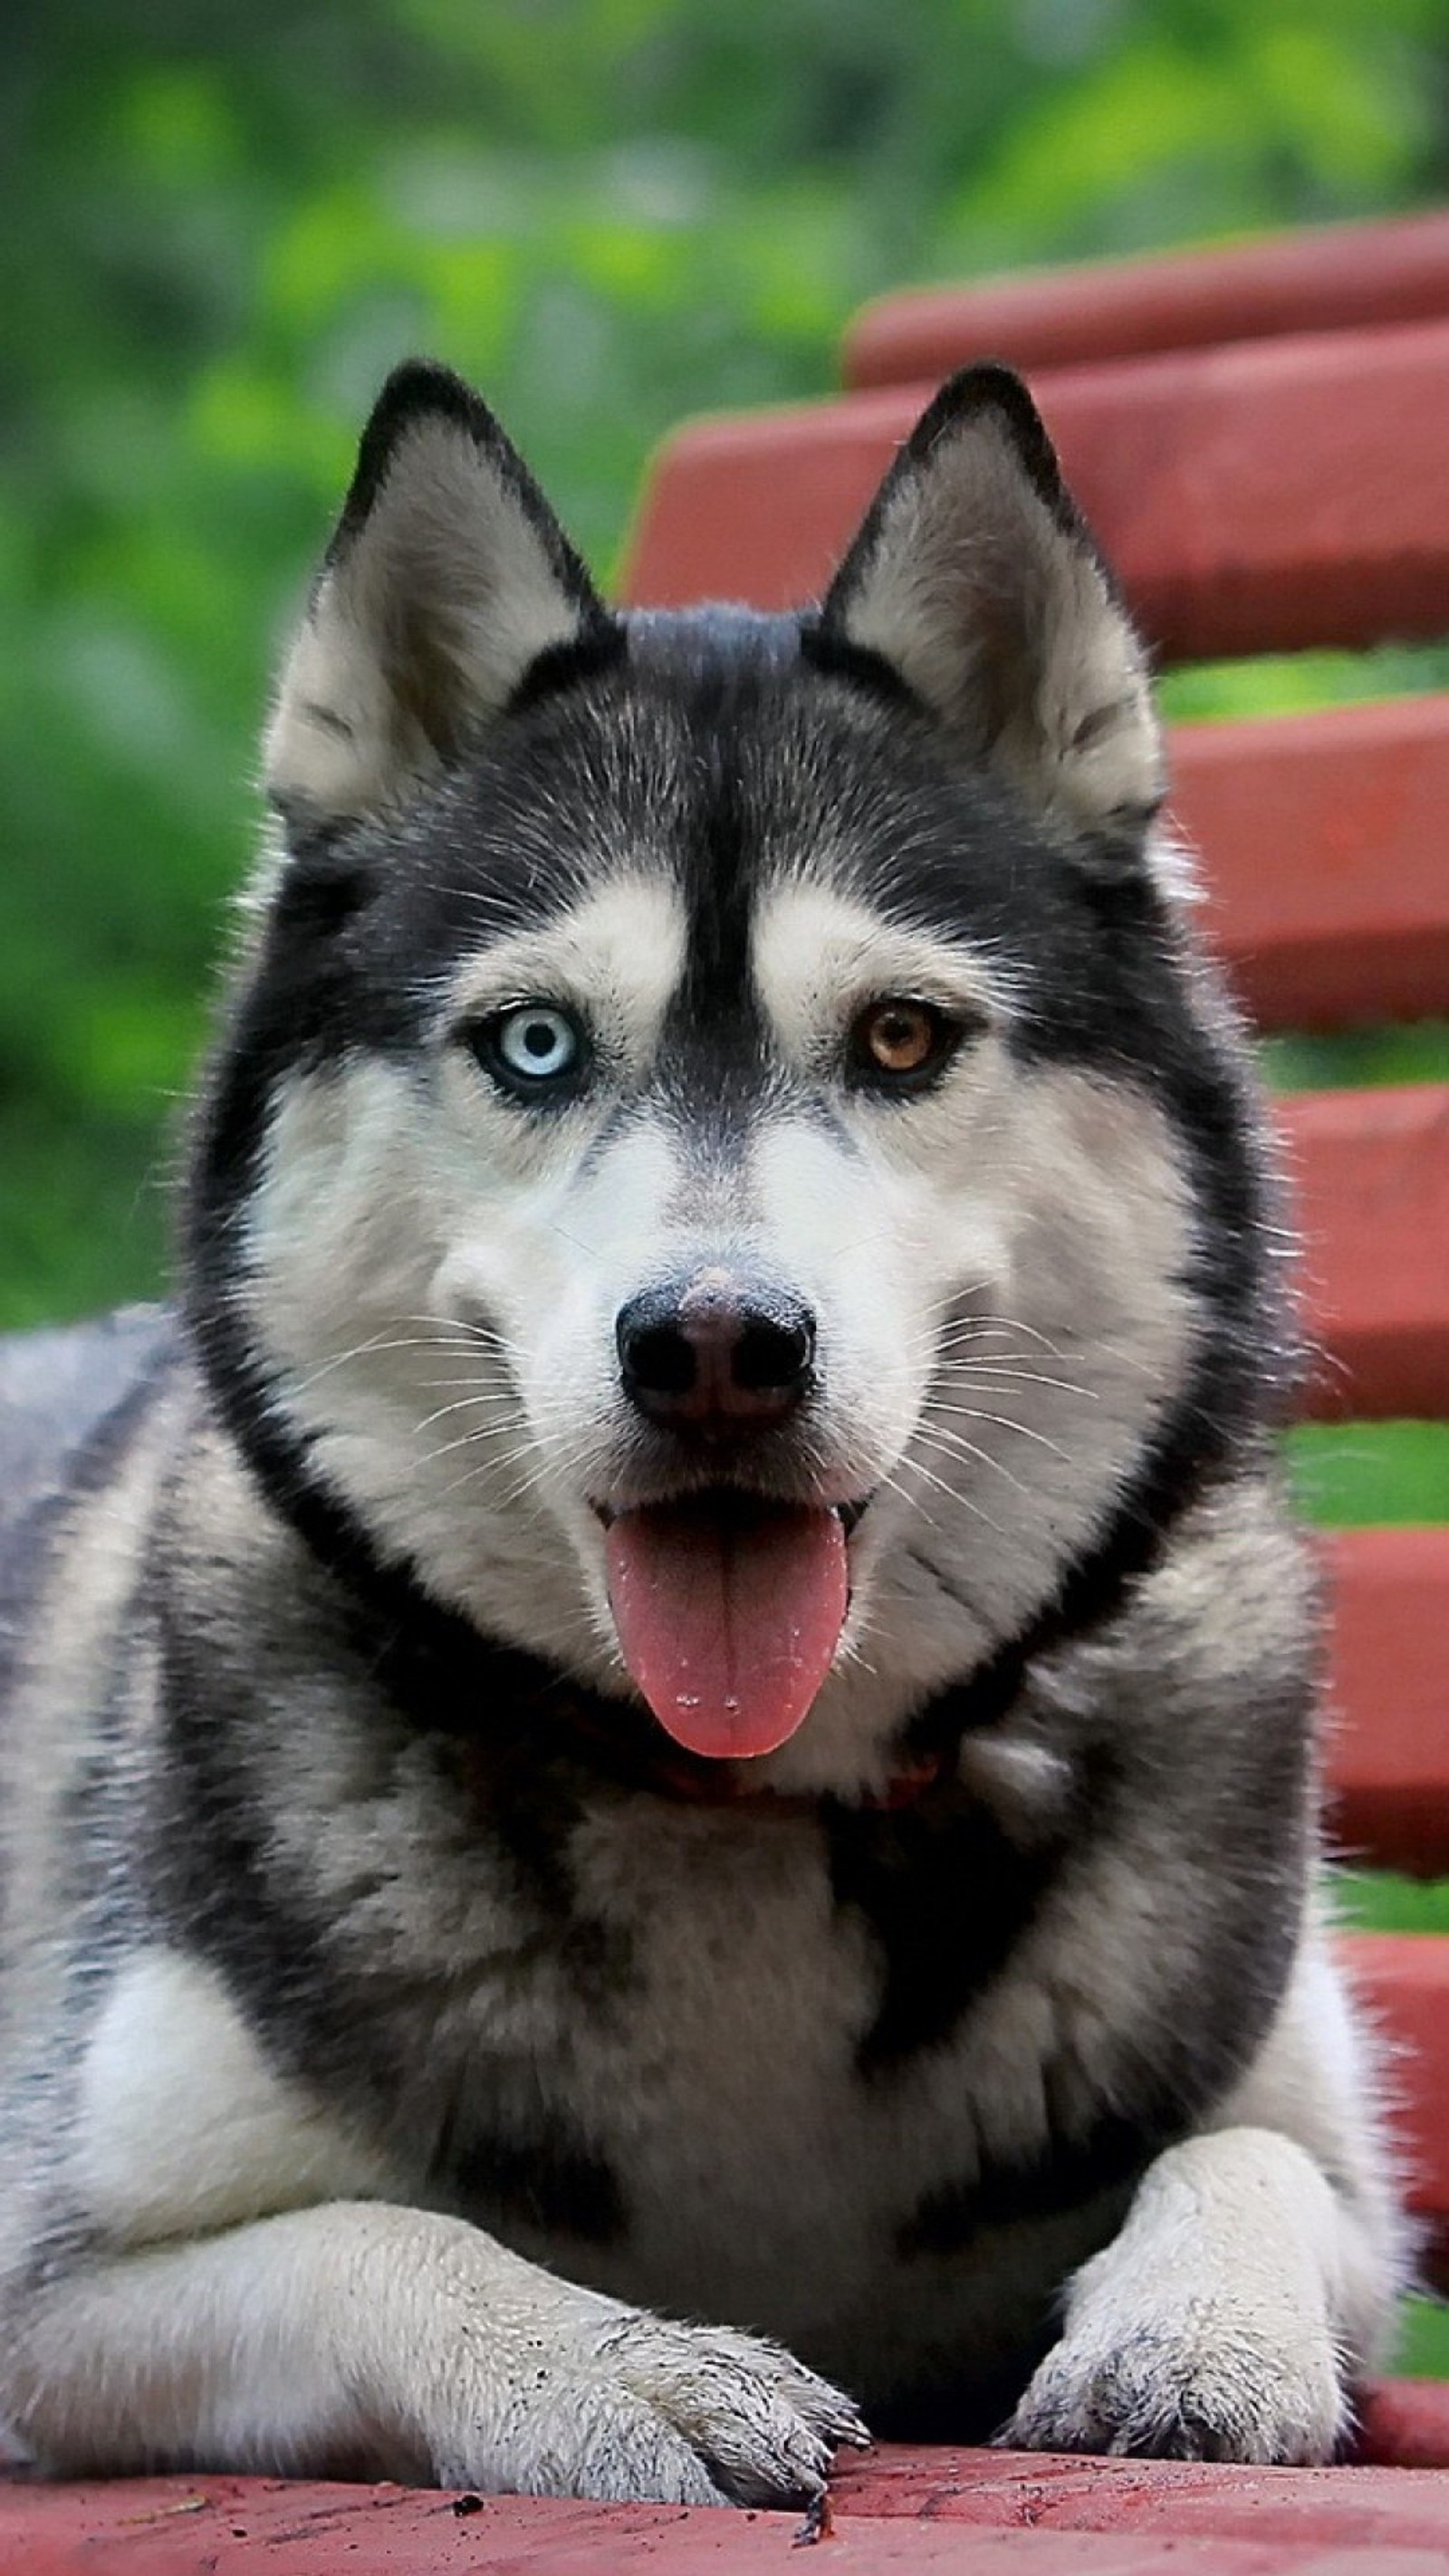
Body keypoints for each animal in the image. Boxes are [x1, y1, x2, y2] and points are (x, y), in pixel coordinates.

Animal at [0, 363, 1410, 2493]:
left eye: (901, 1036)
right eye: (533, 1043)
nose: (719, 1345)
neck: (754, 1802)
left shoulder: (1334, 2156)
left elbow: (1243, 2151)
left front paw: (1199, 2324)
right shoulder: (58, 2280)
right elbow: (377, 2233)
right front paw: (615, 2365)